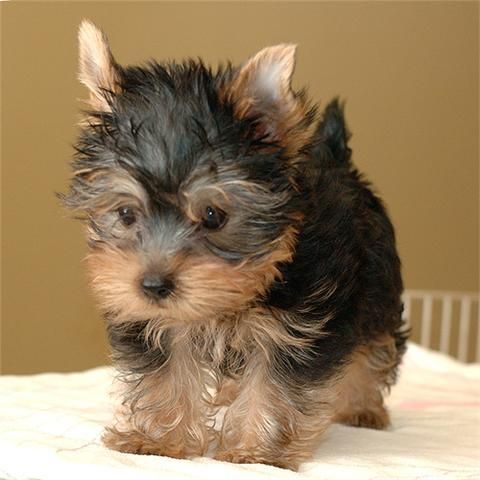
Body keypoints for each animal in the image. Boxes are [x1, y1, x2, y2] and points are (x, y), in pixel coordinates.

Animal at [62, 20, 406, 470]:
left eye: (213, 216)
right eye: (125, 214)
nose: (153, 286)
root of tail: (337, 159)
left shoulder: (296, 328)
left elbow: (274, 385)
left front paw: (256, 451)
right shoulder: (156, 321)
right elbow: (167, 373)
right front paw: (160, 440)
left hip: (377, 287)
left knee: (376, 345)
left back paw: (362, 407)